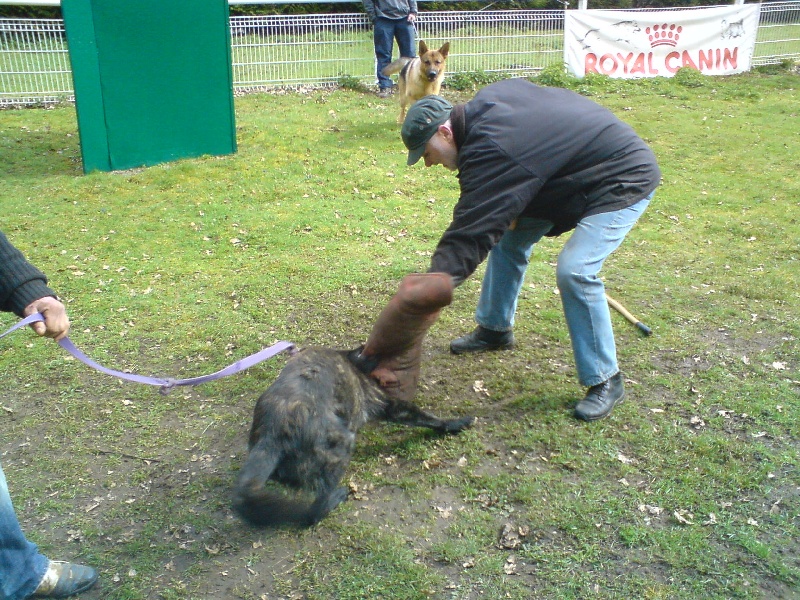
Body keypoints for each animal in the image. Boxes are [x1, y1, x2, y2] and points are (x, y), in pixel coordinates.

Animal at [234, 346, 478, 524]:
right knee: (313, 511)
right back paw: (335, 498)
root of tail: (272, 434)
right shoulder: (383, 401)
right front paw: (454, 423)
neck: (346, 358)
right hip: (341, 449)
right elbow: (424, 416)